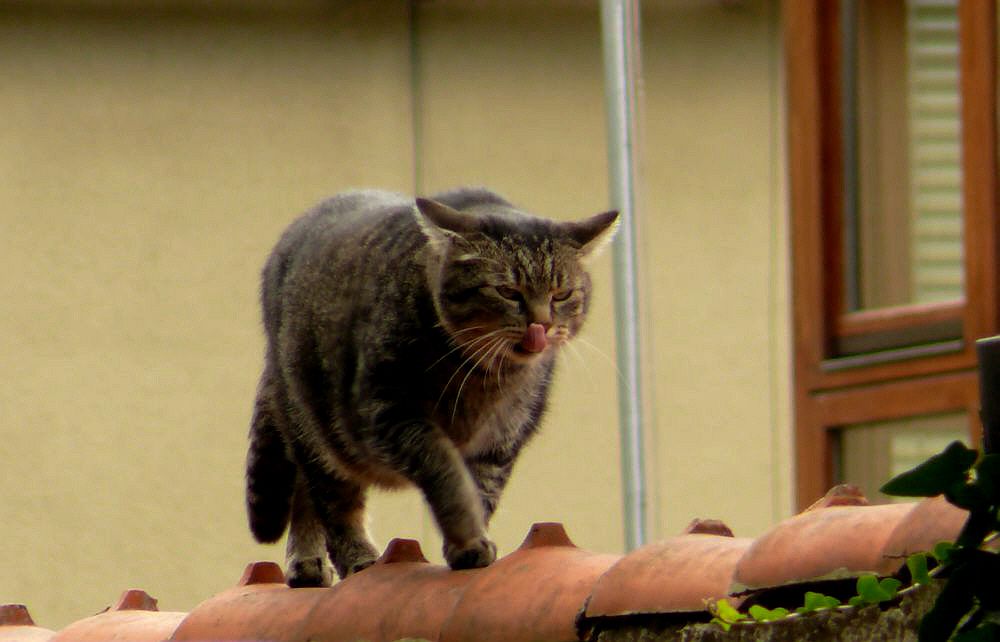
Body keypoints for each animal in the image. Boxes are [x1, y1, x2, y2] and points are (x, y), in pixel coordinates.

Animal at [244, 186, 616, 584]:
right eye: (507, 291)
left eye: (561, 295)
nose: (541, 326)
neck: (483, 377)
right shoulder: (391, 414)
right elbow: (447, 474)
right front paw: (467, 535)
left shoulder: (501, 440)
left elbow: (481, 489)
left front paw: (467, 545)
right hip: (315, 426)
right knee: (330, 499)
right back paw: (350, 558)